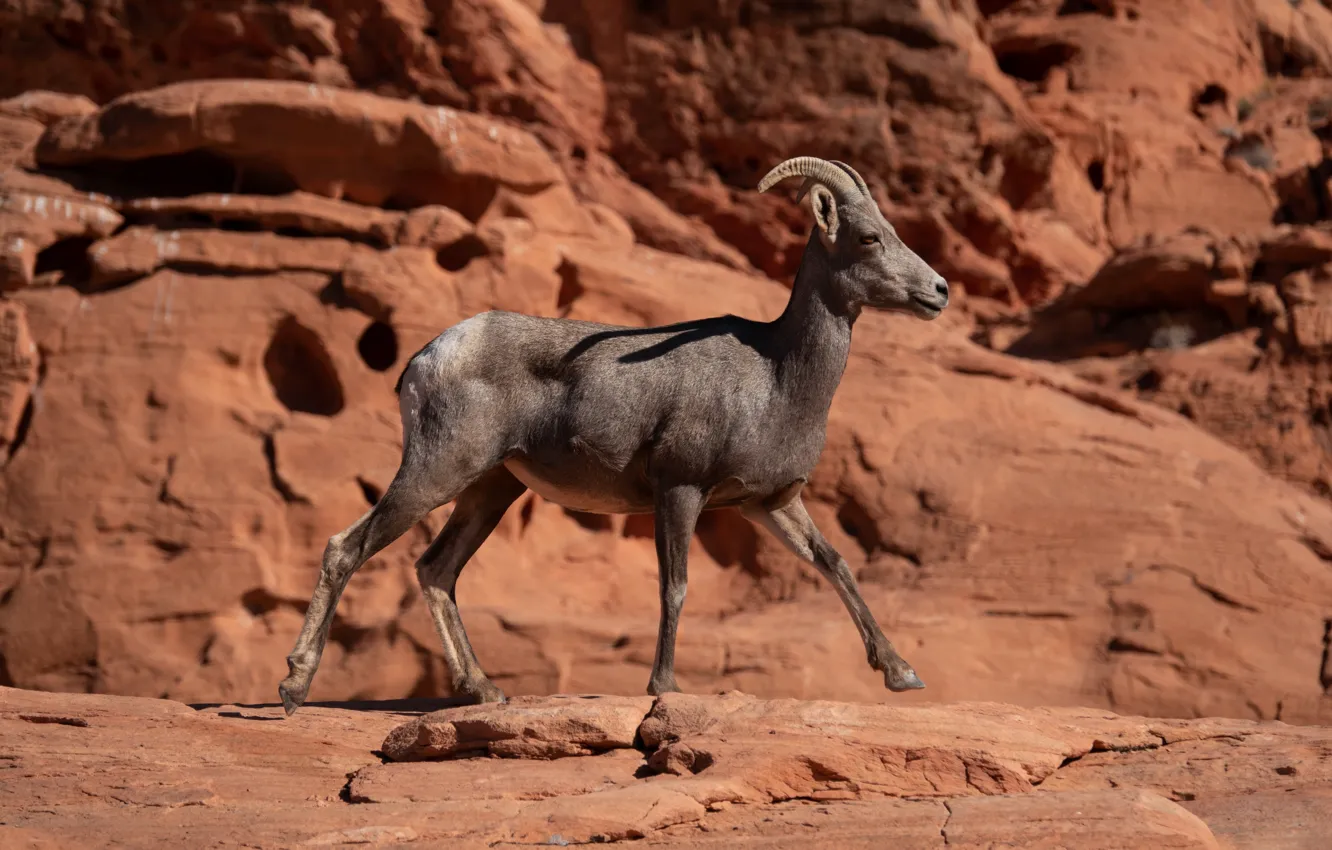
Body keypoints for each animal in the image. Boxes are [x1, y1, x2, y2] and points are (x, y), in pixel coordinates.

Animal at [278, 157, 950, 715]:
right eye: (869, 236)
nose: (939, 291)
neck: (776, 376)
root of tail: (427, 357)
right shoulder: (681, 490)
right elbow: (675, 586)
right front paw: (664, 687)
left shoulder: (769, 504)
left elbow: (836, 564)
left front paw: (902, 674)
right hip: (436, 470)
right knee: (346, 548)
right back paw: (294, 687)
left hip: (490, 489)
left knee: (436, 571)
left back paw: (485, 691)